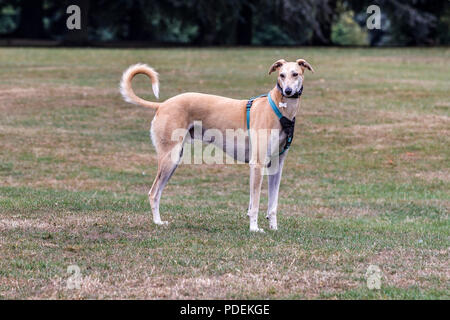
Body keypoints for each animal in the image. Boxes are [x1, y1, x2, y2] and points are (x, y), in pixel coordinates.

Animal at [121, 58, 314, 231]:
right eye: (281, 75)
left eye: (295, 74)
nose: (288, 91)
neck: (279, 109)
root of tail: (162, 105)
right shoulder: (257, 164)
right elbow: (254, 205)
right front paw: (254, 228)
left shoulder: (276, 166)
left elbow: (272, 204)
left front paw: (273, 228)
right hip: (170, 158)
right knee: (153, 193)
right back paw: (157, 222)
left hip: (173, 161)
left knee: (158, 192)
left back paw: (159, 221)